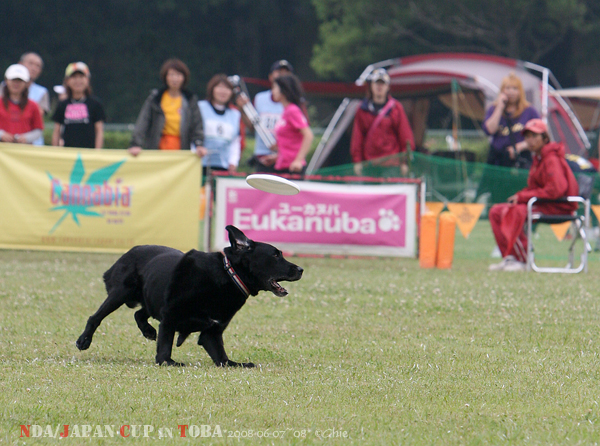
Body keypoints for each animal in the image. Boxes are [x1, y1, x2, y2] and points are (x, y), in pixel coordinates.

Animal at [75, 225, 304, 368]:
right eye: (276, 255)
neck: (227, 275)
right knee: (95, 317)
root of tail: (129, 252)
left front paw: (237, 363)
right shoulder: (170, 317)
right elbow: (166, 346)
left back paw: (148, 331)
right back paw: (84, 340)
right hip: (120, 293)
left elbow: (222, 358)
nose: (301, 269)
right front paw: (167, 361)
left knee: (139, 314)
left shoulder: (212, 332)